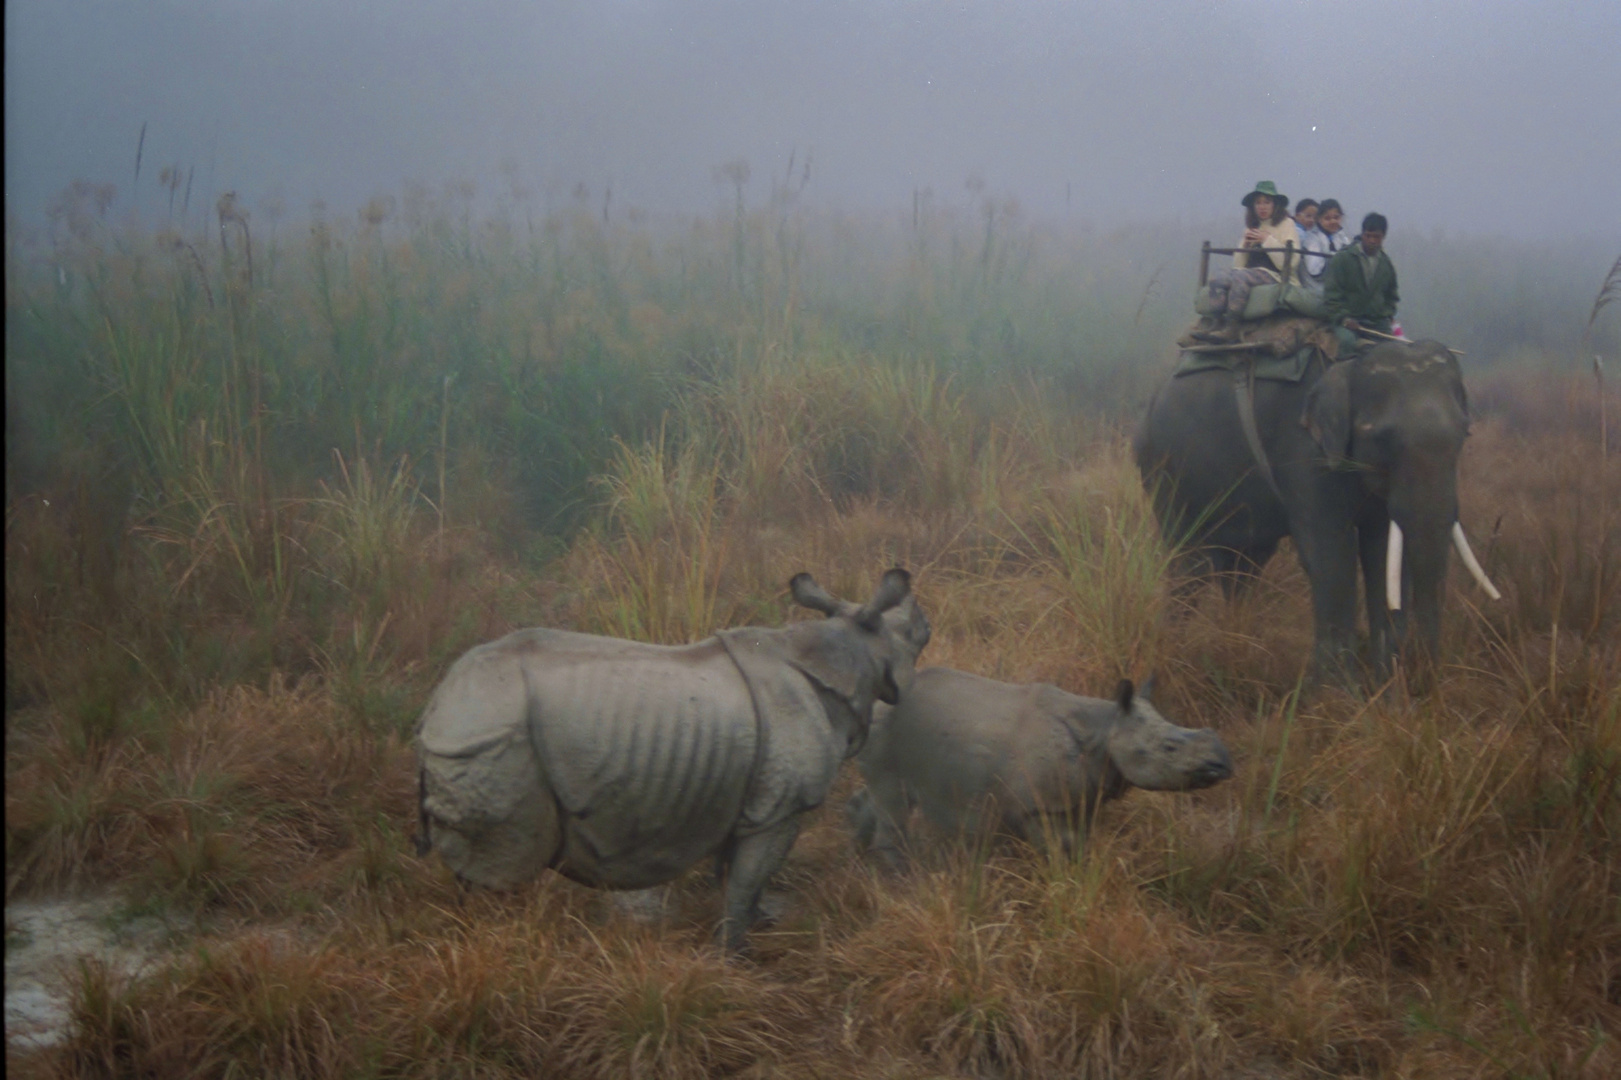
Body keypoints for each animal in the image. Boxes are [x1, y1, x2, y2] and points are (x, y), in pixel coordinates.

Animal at [411, 567, 933, 947]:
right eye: (913, 632)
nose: (928, 623)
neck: (847, 655)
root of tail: (435, 708)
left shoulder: (748, 795)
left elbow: (736, 875)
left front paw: (759, 923)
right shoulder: (780, 808)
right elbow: (749, 877)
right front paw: (734, 956)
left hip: (475, 727)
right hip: (490, 734)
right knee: (500, 866)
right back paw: (491, 937)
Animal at [849, 668, 1225, 862]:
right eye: (1170, 747)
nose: (1224, 763)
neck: (1105, 729)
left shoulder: (1079, 799)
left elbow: (1078, 843)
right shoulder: (1038, 807)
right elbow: (1057, 850)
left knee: (880, 795)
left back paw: (860, 853)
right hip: (887, 728)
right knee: (893, 804)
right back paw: (898, 877)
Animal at [1134, 337, 1497, 677]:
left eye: (1464, 434)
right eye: (1382, 438)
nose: (1423, 678)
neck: (1352, 360)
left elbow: (1381, 550)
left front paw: (1384, 688)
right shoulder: (1303, 450)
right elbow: (1330, 555)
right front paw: (1341, 695)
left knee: (1244, 565)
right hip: (1166, 472)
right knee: (1190, 563)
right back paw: (1176, 650)